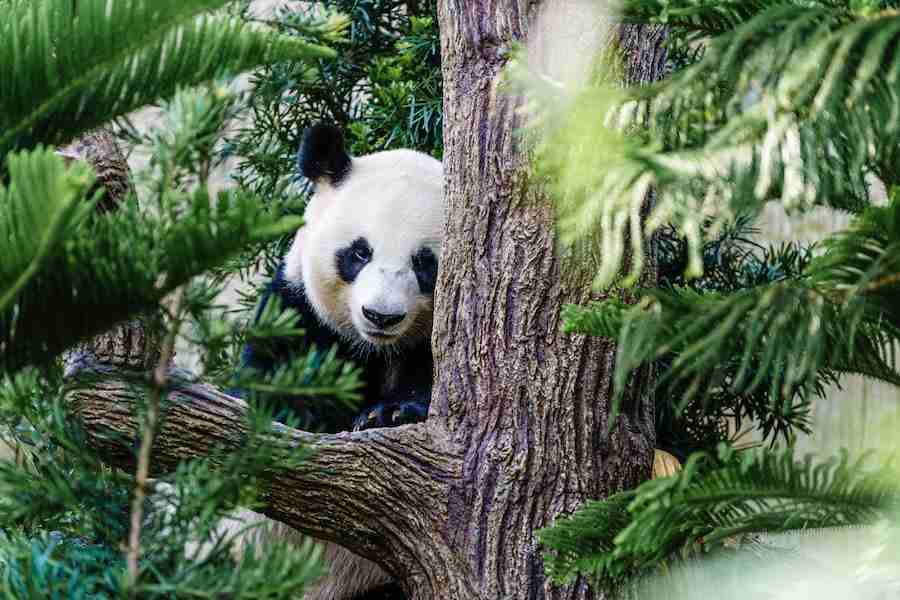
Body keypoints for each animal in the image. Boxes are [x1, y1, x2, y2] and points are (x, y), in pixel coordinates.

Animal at [230, 124, 444, 600]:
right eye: (360, 252)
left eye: (425, 263)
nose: (381, 316)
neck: (376, 349)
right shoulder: (295, 311)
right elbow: (263, 394)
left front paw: (390, 413)